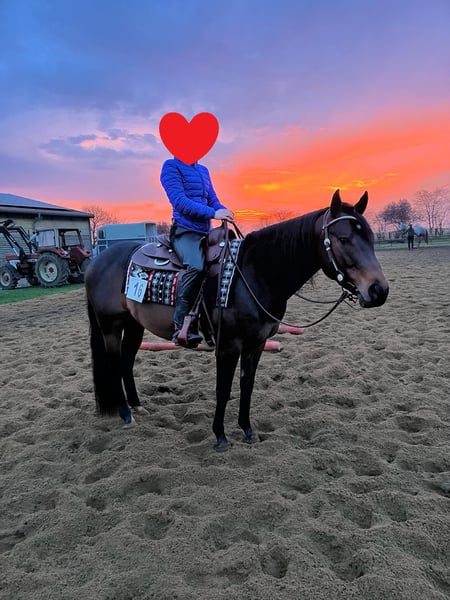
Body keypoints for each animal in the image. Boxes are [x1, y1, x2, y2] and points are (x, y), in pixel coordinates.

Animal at [85, 189, 389, 451]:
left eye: (371, 237)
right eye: (343, 238)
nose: (378, 290)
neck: (255, 273)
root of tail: (97, 261)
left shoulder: (256, 344)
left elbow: (247, 385)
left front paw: (247, 429)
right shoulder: (228, 345)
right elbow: (223, 389)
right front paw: (220, 435)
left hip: (134, 324)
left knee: (126, 362)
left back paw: (137, 406)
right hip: (110, 325)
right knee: (114, 363)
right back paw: (126, 414)